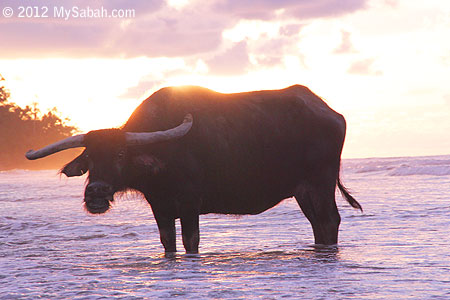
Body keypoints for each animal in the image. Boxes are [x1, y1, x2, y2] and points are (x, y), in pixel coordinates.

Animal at [24, 84, 362, 253]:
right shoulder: (160, 207)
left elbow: (190, 242)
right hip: (302, 192)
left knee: (329, 221)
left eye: (120, 153)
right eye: (91, 157)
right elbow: (168, 243)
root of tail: (329, 111)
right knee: (318, 225)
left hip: (320, 184)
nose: (95, 193)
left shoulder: (189, 204)